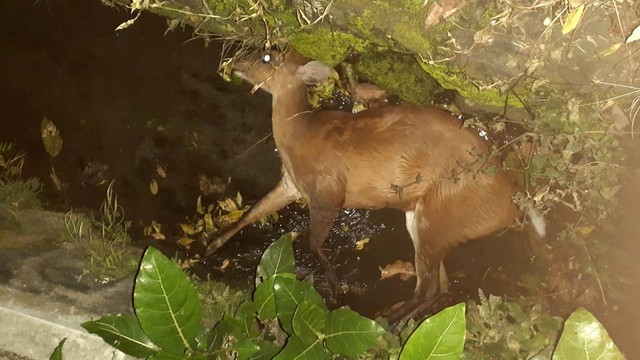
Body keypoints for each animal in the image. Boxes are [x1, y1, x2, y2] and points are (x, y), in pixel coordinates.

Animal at [206, 48, 544, 320]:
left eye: (268, 57)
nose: (235, 62)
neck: (300, 136)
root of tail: (512, 204)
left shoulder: (328, 188)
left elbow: (313, 242)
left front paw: (335, 287)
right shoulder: (292, 184)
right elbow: (253, 212)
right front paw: (212, 244)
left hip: (439, 214)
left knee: (429, 286)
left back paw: (389, 320)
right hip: (426, 219)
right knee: (440, 285)